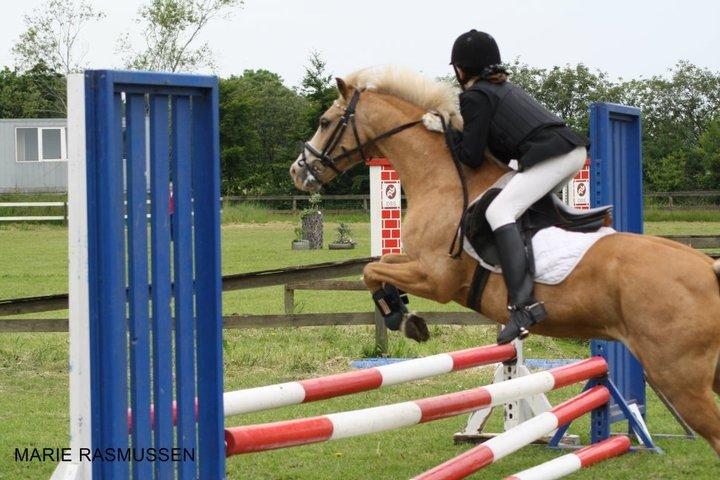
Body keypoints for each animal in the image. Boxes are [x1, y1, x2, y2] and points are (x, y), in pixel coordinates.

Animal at [286, 66, 720, 454]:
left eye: (325, 121)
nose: (297, 171)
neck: (442, 179)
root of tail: (708, 268)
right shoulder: (417, 262)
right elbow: (376, 267)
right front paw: (406, 315)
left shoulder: (436, 277)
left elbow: (370, 270)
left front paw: (402, 319)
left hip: (678, 376)